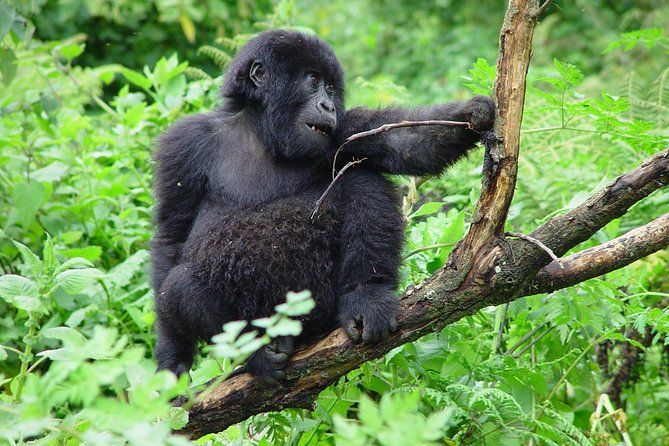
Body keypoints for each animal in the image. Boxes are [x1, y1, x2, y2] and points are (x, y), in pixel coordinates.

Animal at [153, 29, 496, 382]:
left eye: (331, 87)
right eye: (312, 80)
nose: (327, 105)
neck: (262, 132)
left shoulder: (346, 128)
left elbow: (405, 142)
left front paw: (473, 113)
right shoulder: (183, 143)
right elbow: (171, 237)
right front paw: (173, 353)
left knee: (362, 180)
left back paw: (365, 296)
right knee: (179, 288)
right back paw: (256, 353)